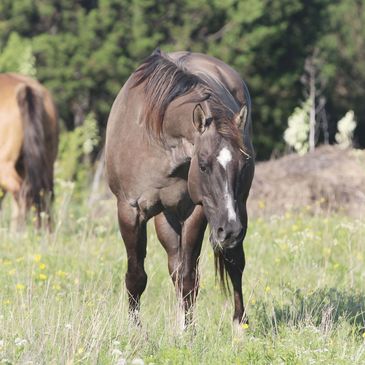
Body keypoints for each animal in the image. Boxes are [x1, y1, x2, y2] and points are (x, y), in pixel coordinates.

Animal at [105, 49, 253, 326]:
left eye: (243, 164)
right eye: (203, 165)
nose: (229, 230)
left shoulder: (196, 210)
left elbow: (189, 278)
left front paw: (188, 330)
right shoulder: (129, 210)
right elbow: (136, 276)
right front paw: (135, 329)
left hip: (237, 209)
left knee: (234, 263)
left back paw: (239, 323)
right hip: (167, 217)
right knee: (174, 265)